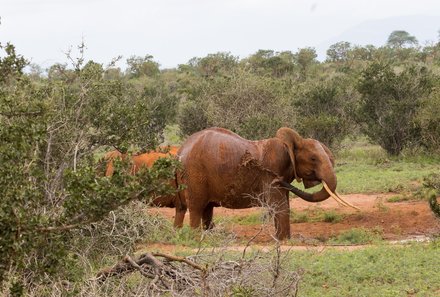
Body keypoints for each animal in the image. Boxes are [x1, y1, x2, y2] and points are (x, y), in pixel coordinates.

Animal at [177, 126, 352, 238]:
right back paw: (195, 238)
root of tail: (181, 150)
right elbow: (280, 206)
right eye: (313, 159)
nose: (277, 179)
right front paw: (283, 240)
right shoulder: (272, 173)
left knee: (204, 209)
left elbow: (284, 205)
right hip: (194, 175)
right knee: (196, 207)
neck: (288, 145)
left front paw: (284, 238)